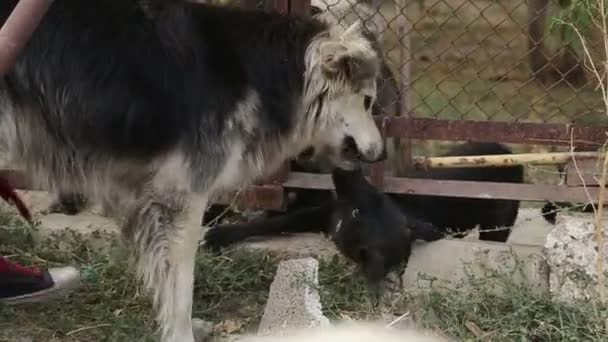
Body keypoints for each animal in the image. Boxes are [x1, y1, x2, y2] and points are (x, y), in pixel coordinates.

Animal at [0, 1, 384, 340]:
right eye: (367, 101)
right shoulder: (184, 199)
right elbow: (181, 286)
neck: (272, 74)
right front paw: (181, 334)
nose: (379, 154)